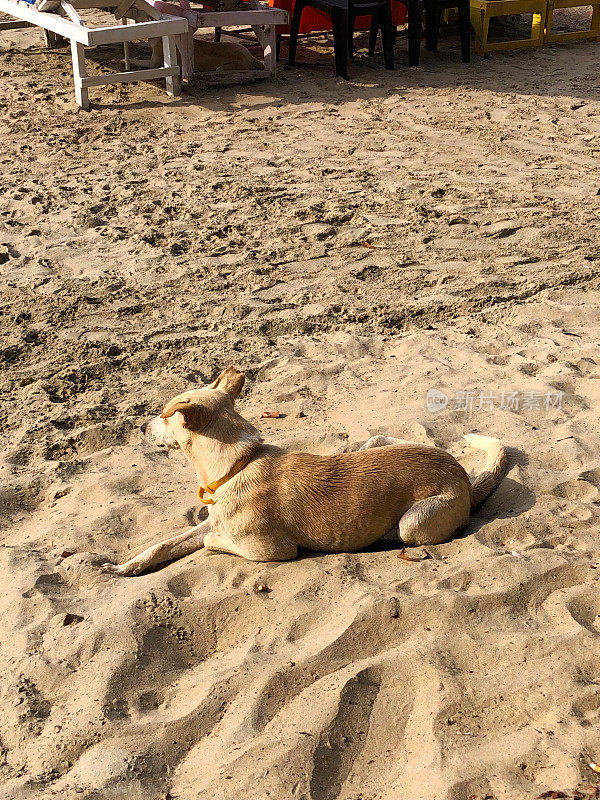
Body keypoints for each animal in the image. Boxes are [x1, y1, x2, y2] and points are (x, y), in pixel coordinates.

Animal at [102, 368, 506, 576]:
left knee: (409, 530)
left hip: (414, 522)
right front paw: (125, 567)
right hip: (377, 441)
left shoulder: (271, 550)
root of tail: (463, 475)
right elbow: (163, 544)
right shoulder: (208, 522)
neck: (238, 464)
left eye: (163, 416)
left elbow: (209, 542)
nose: (141, 426)